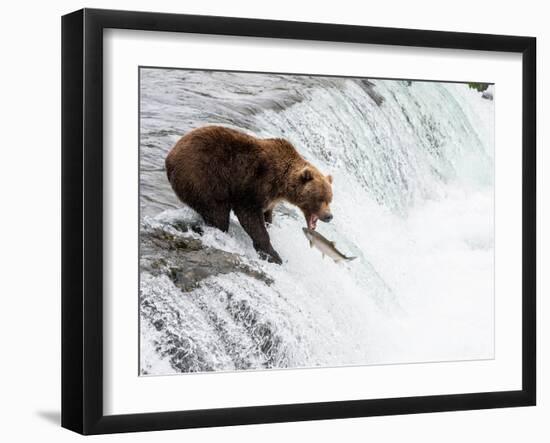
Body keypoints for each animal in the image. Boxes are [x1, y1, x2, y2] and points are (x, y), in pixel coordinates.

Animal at [166, 125, 334, 264]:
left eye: (330, 199)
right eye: (320, 198)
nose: (329, 216)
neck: (282, 184)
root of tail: (170, 156)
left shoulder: (270, 198)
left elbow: (266, 216)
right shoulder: (254, 184)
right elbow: (250, 217)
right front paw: (273, 255)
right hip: (203, 176)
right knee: (217, 213)